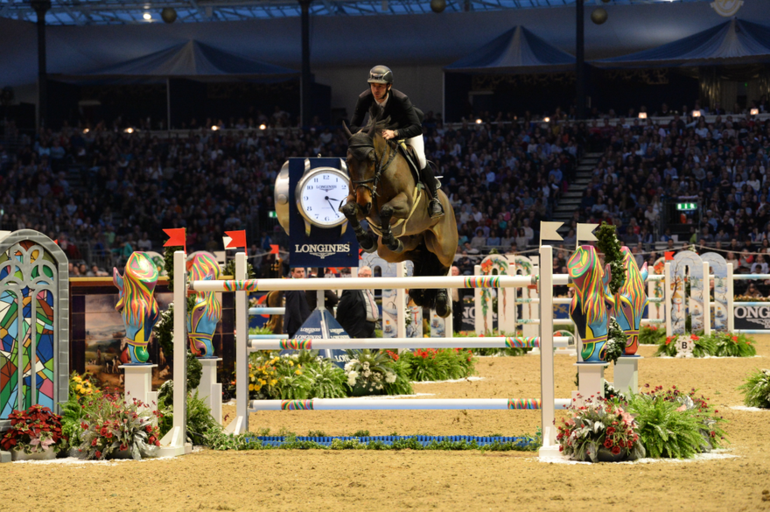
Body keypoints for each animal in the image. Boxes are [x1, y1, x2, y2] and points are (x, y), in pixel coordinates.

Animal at [340, 117, 456, 316]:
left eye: (372, 159)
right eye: (348, 161)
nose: (364, 202)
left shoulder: (405, 203)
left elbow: (386, 209)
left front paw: (388, 238)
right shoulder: (360, 202)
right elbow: (349, 209)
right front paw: (366, 240)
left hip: (443, 245)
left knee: (442, 263)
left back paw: (442, 302)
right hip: (392, 250)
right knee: (418, 256)